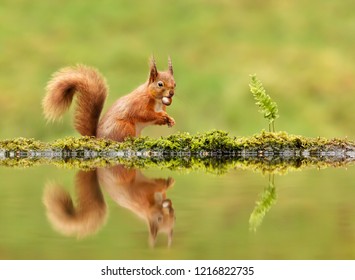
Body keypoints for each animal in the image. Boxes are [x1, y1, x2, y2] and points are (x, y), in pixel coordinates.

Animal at [43, 57, 177, 141]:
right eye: (160, 84)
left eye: (175, 84)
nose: (171, 93)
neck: (157, 100)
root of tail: (98, 138)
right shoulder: (138, 103)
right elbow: (143, 114)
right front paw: (161, 116)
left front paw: (170, 119)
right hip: (124, 127)